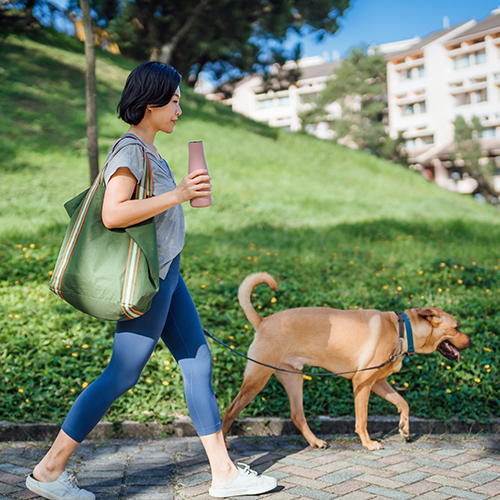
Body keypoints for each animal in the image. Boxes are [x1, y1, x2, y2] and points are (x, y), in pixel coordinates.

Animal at [223, 274, 472, 450]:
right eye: (457, 328)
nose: (470, 341)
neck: (401, 331)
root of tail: (263, 321)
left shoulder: (378, 383)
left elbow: (403, 403)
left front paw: (404, 429)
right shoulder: (362, 383)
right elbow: (362, 420)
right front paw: (367, 443)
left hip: (293, 379)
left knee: (297, 415)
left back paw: (315, 441)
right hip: (256, 380)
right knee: (230, 410)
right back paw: (223, 444)